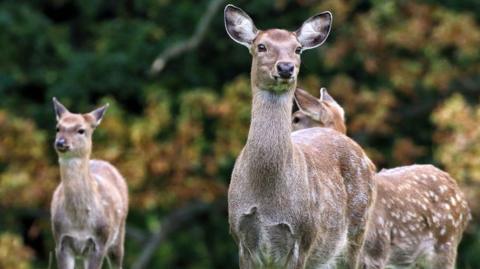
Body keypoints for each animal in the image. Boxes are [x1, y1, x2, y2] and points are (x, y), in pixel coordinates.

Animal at [51, 97, 129, 266]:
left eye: (81, 130)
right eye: (58, 128)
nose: (61, 142)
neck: (79, 223)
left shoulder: (99, 243)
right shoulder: (60, 241)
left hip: (119, 234)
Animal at [223, 4, 376, 268]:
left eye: (298, 48)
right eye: (261, 46)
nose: (286, 67)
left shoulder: (303, 237)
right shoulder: (240, 235)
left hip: (357, 229)